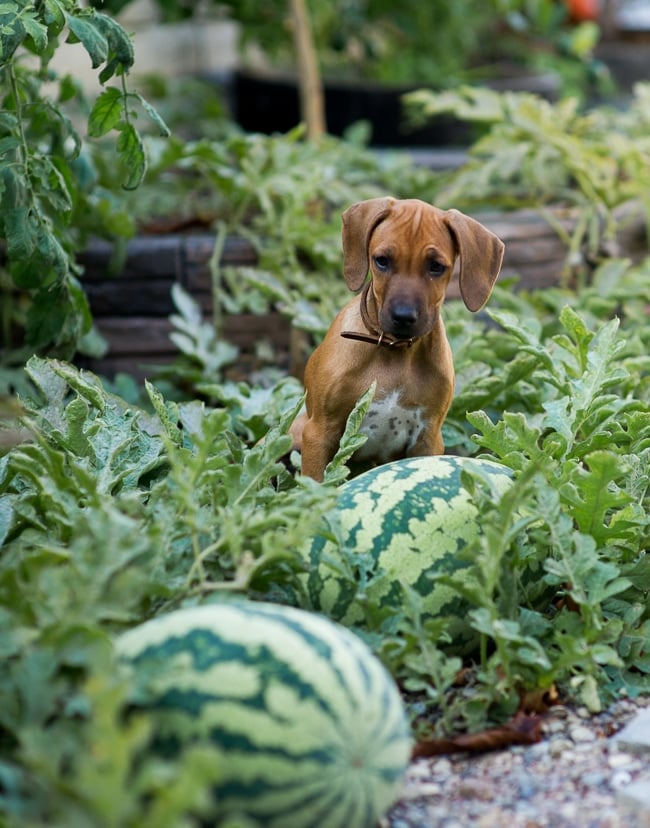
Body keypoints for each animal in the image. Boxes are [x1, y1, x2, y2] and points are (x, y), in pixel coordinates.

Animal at [292, 198, 504, 482]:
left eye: (436, 266)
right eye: (382, 261)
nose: (403, 316)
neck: (394, 349)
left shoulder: (428, 439)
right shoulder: (318, 433)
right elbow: (314, 484)